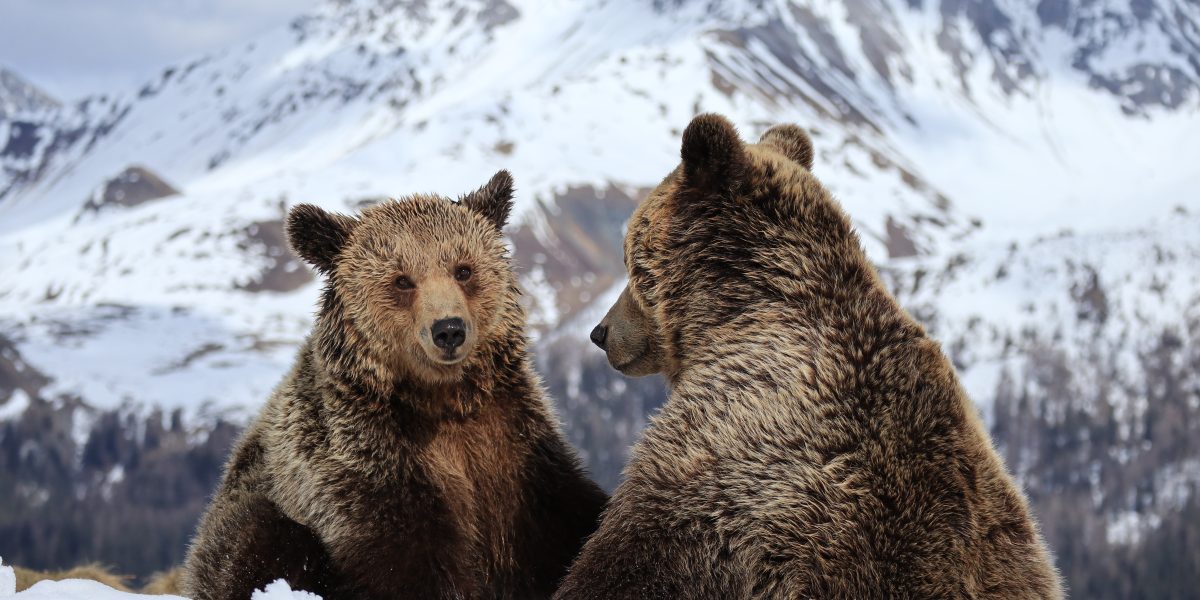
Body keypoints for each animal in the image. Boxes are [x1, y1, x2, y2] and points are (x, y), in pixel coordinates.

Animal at [183, 171, 608, 600]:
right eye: (402, 280)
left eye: (463, 269)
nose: (449, 330)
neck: (442, 401)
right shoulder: (365, 470)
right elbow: (404, 564)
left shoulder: (514, 446)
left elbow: (567, 517)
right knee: (252, 538)